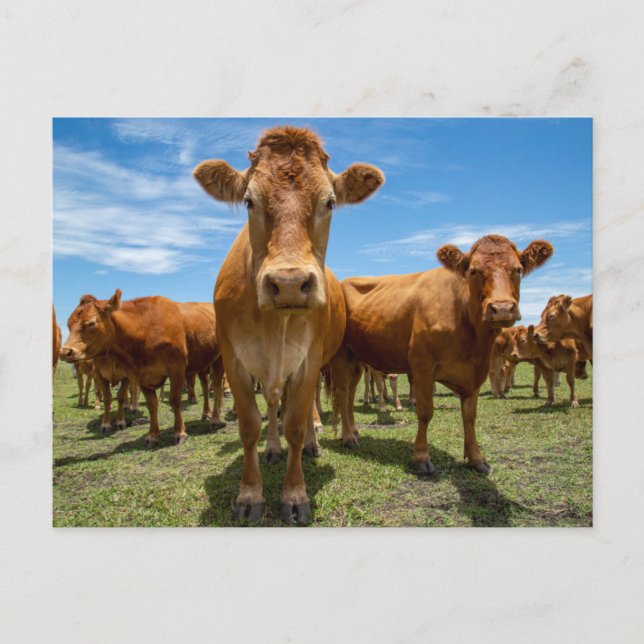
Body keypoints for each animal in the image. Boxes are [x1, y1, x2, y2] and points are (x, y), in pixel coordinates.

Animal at [194, 125, 384, 524]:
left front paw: (295, 495)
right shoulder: (234, 360)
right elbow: (250, 425)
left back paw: (317, 441)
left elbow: (295, 423)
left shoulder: (309, 360)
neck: (274, 327)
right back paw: (272, 448)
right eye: (249, 201)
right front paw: (250, 494)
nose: (290, 283)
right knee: (272, 406)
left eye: (330, 202)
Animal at [330, 234, 553, 475]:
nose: (502, 308)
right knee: (342, 393)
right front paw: (421, 457)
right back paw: (348, 437)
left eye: (518, 269)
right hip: (341, 356)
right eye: (473, 271)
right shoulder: (422, 366)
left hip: (356, 358)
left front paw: (476, 458)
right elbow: (425, 412)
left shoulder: (476, 372)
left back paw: (353, 430)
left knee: (350, 393)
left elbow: (470, 416)